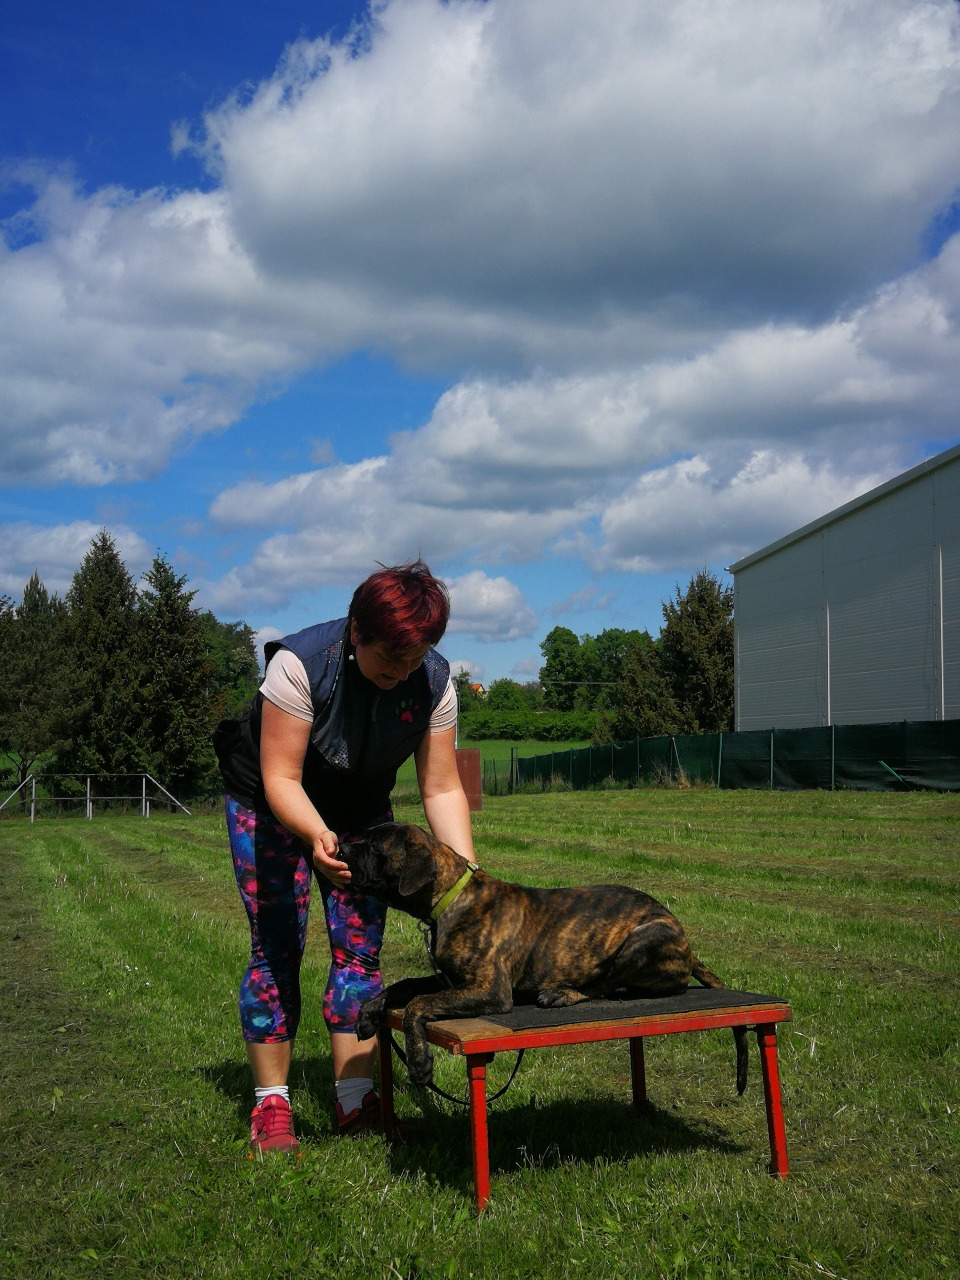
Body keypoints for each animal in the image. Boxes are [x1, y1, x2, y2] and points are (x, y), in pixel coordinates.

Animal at [342, 821, 748, 1093]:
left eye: (375, 847)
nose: (343, 849)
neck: (451, 899)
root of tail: (686, 943)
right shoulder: (452, 980)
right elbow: (405, 985)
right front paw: (370, 1011)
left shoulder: (489, 990)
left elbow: (418, 1004)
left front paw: (420, 1061)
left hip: (643, 938)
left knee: (608, 984)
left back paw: (562, 992)